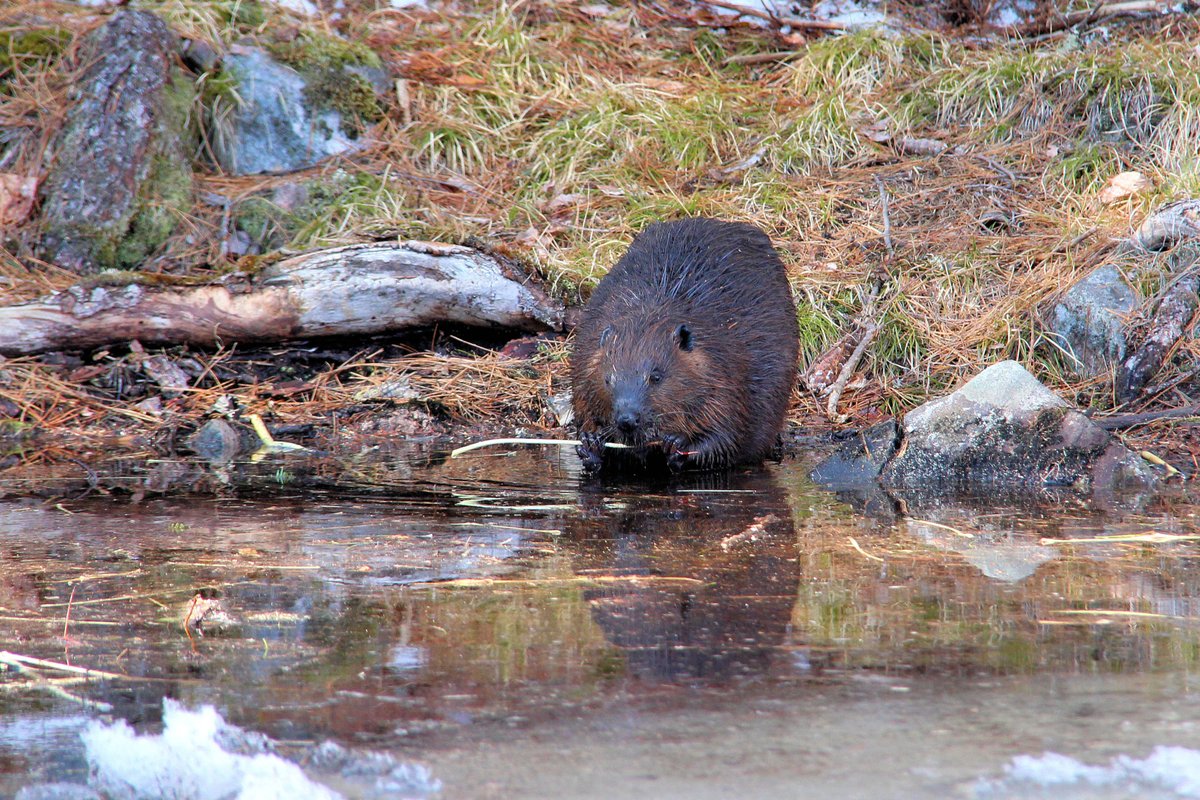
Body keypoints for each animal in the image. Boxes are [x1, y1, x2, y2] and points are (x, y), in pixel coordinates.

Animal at [568, 215, 796, 472]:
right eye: (608, 379)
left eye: (656, 376)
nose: (627, 419)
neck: (648, 322)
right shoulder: (585, 364)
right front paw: (590, 443)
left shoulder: (725, 376)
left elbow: (728, 438)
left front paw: (677, 445)